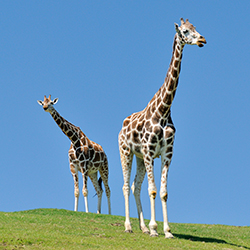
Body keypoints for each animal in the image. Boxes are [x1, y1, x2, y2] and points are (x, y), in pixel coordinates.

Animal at [118, 18, 206, 238]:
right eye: (185, 31)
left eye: (195, 28)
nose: (202, 39)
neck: (164, 111)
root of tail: (122, 127)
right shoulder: (150, 152)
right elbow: (153, 190)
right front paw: (154, 228)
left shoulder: (167, 153)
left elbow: (164, 192)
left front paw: (166, 230)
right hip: (126, 152)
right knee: (125, 186)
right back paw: (129, 226)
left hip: (139, 158)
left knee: (135, 186)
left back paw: (141, 226)